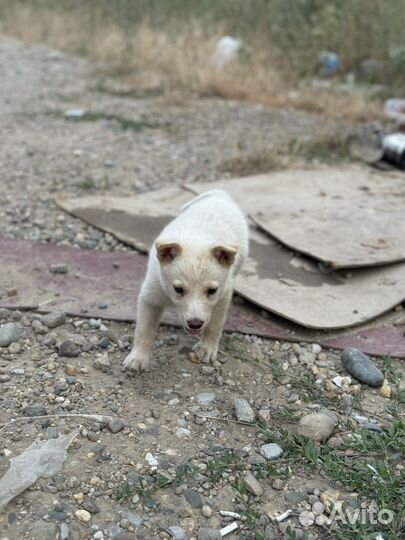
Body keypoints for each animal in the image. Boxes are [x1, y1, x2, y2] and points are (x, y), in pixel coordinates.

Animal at [123, 189, 248, 372]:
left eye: (212, 291)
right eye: (178, 289)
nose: (195, 324)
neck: (196, 240)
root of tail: (219, 194)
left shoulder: (224, 293)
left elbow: (215, 323)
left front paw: (207, 348)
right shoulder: (152, 292)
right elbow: (144, 329)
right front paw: (138, 357)